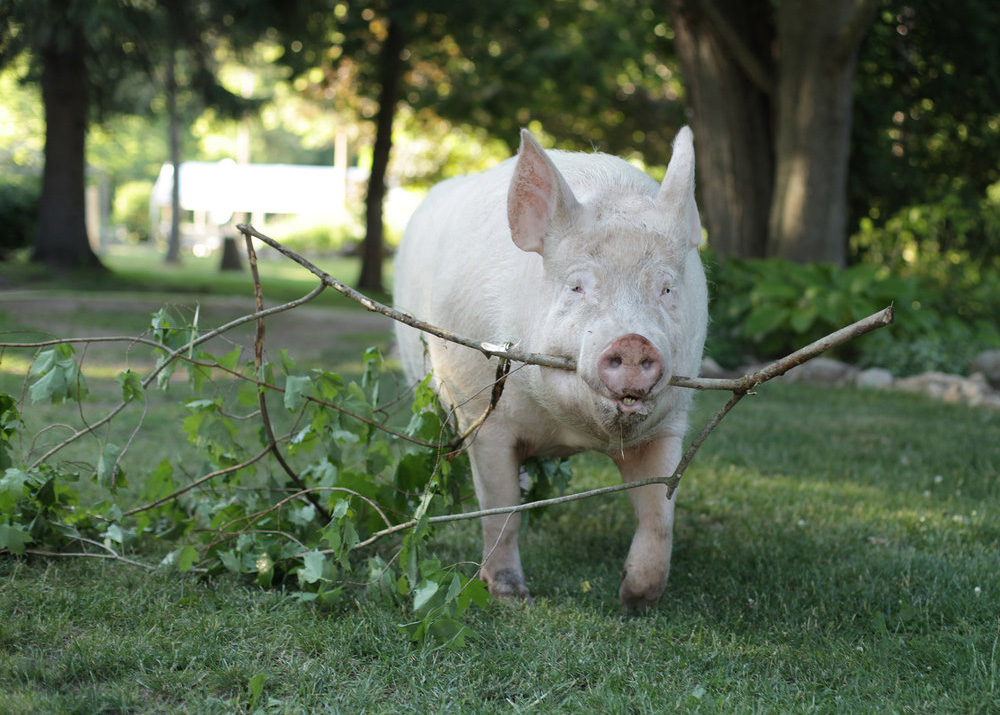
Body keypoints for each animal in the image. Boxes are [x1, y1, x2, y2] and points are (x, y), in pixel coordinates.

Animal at [394, 127, 708, 608]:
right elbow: (500, 510)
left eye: (667, 287)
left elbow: (660, 515)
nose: (633, 342)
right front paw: (512, 596)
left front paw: (634, 599)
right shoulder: (483, 416)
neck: (569, 435)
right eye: (576, 286)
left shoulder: (668, 425)